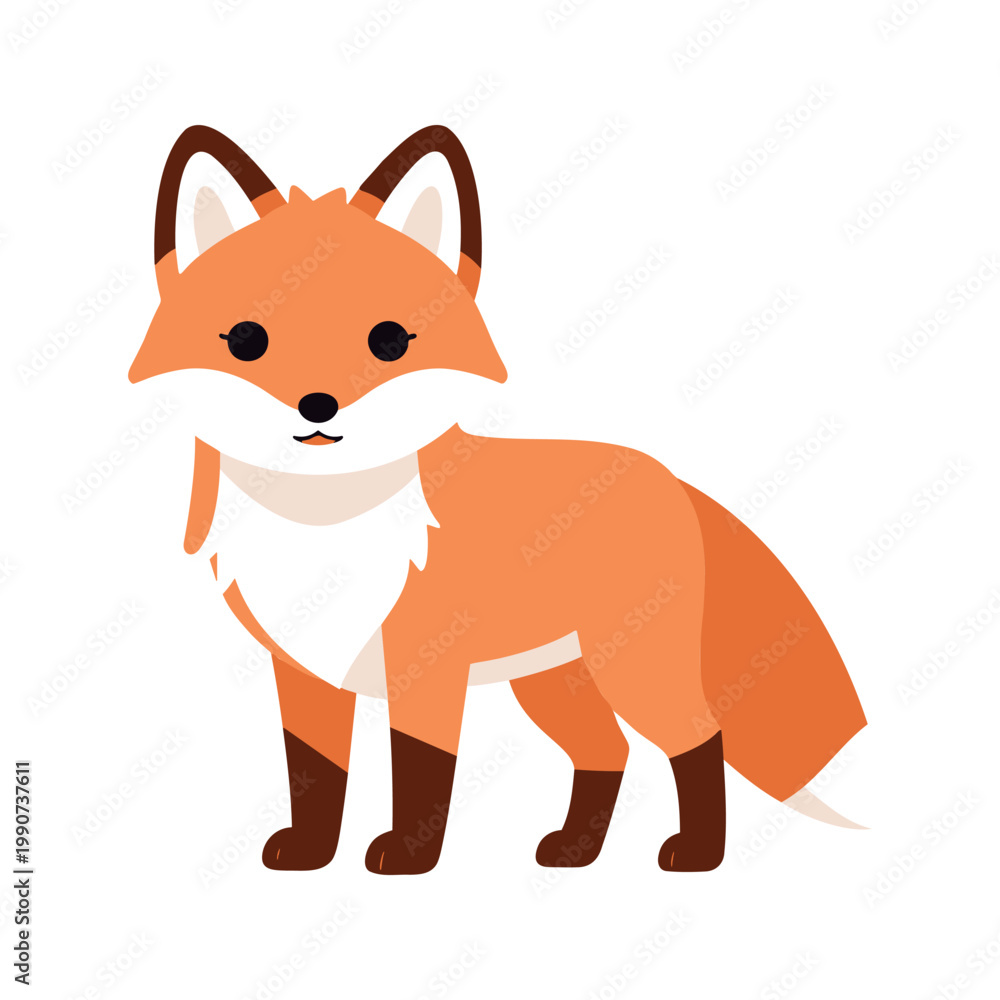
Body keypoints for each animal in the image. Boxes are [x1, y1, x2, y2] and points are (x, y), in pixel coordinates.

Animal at [129, 124, 866, 874]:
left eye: (389, 340)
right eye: (248, 339)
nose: (318, 405)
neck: (326, 525)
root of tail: (663, 474)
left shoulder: (426, 665)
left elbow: (420, 768)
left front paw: (409, 854)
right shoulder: (304, 671)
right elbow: (313, 775)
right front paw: (310, 852)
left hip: (629, 666)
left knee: (695, 738)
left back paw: (696, 853)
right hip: (553, 683)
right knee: (607, 750)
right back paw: (575, 849)